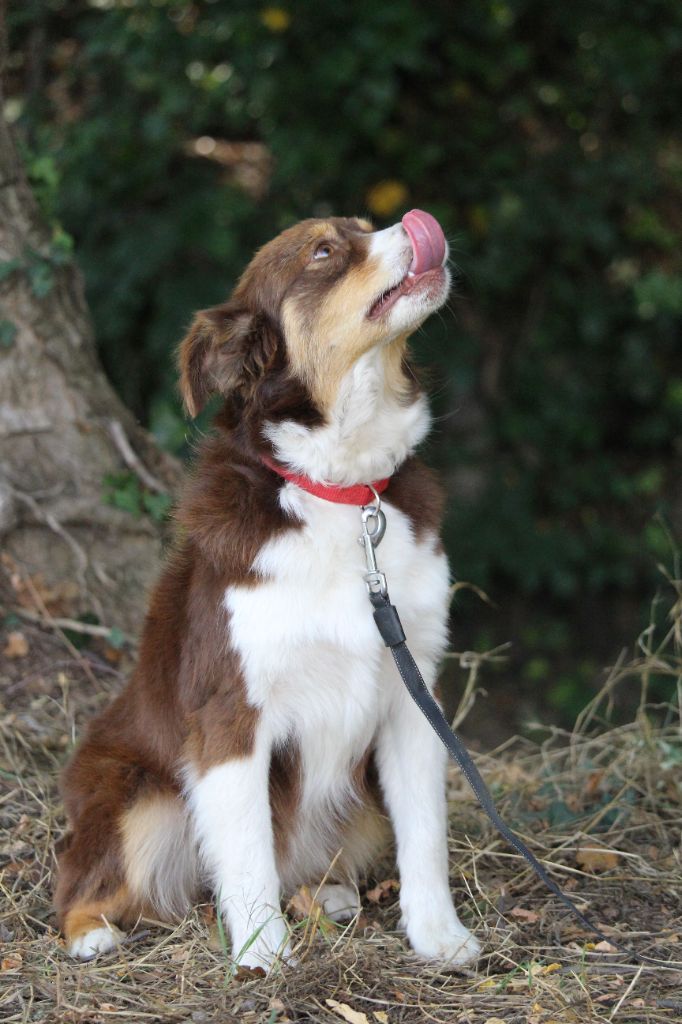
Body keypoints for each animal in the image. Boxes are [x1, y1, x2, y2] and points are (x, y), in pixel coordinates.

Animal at [55, 209, 481, 966]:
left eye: (365, 226)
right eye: (323, 251)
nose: (418, 223)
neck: (341, 490)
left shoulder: (414, 691)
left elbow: (425, 831)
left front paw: (439, 936)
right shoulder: (231, 711)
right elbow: (249, 846)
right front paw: (262, 954)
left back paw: (328, 895)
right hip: (137, 794)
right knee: (84, 876)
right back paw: (91, 932)